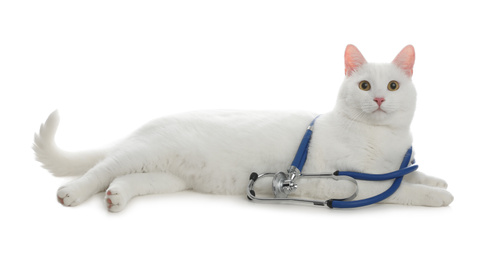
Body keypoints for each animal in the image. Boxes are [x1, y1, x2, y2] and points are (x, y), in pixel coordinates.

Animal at [33, 44, 454, 211]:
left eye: (393, 86)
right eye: (365, 86)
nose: (380, 99)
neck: (382, 138)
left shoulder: (393, 167)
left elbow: (412, 176)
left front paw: (436, 180)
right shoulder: (350, 185)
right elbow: (401, 191)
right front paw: (440, 197)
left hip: (168, 176)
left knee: (124, 179)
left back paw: (116, 198)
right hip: (143, 152)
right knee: (100, 169)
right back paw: (73, 193)